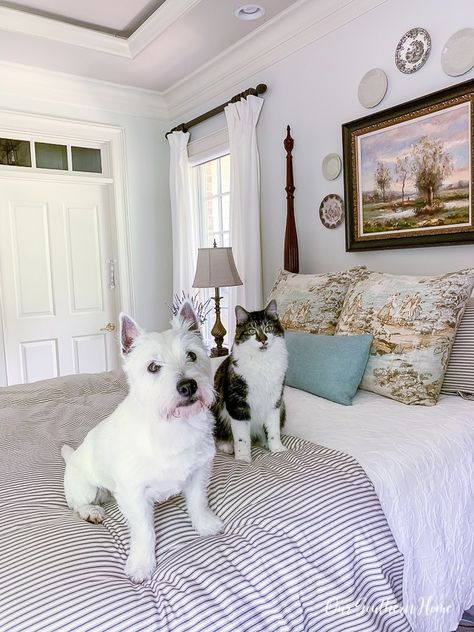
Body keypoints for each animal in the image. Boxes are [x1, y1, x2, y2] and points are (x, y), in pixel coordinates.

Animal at [62, 304, 223, 584]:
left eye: (192, 355)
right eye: (153, 367)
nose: (188, 386)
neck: (172, 426)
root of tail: (70, 457)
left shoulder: (199, 473)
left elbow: (198, 502)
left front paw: (205, 525)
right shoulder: (134, 493)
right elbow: (144, 531)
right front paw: (141, 564)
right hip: (85, 487)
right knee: (78, 504)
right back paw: (92, 511)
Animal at [212, 298, 286, 462]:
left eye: (268, 328)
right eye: (252, 331)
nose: (263, 340)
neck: (262, 362)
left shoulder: (275, 400)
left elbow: (274, 430)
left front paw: (277, 448)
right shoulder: (238, 404)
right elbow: (242, 437)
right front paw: (243, 457)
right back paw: (227, 446)